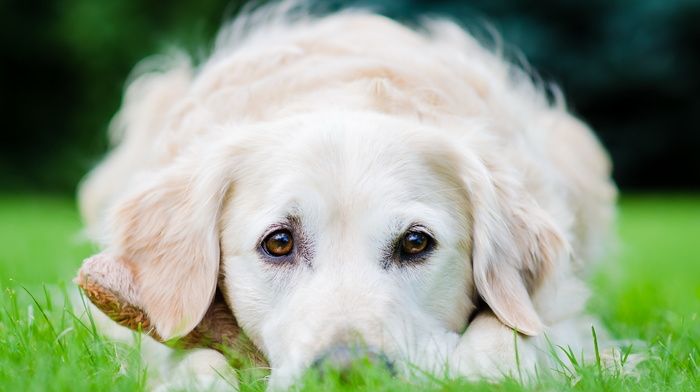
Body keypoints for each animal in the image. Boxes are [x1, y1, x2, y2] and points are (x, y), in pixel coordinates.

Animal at [76, 3, 616, 392]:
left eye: (416, 243)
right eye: (278, 243)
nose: (348, 371)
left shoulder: (562, 313)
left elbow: (508, 338)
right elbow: (192, 357)